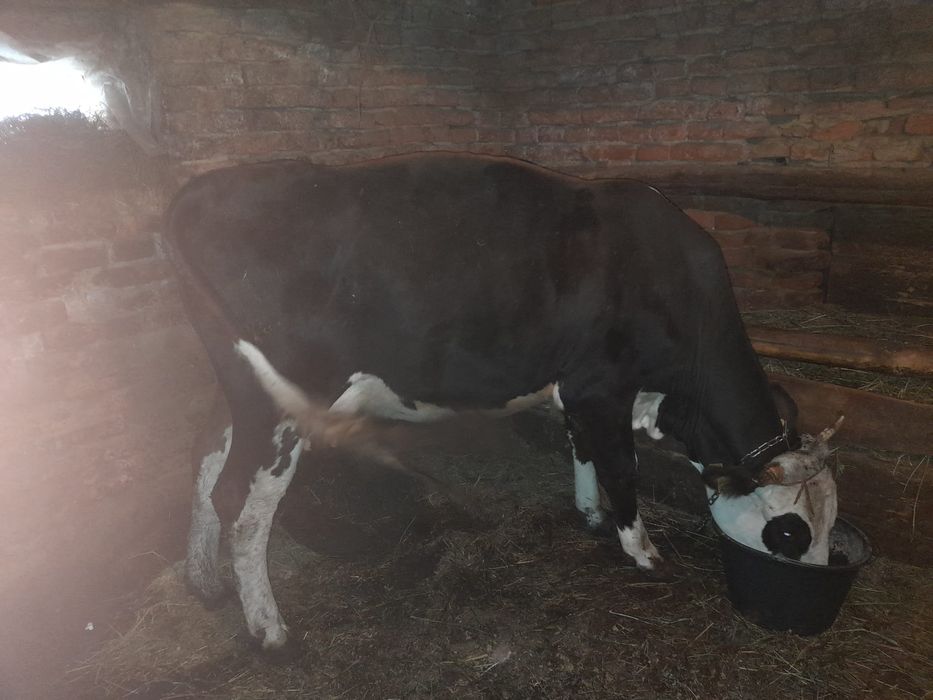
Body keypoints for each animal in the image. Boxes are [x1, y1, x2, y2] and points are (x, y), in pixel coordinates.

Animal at [165, 152, 839, 651]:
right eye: (791, 534)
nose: (816, 584)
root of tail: (198, 192)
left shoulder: (581, 389)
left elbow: (582, 448)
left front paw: (590, 515)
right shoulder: (603, 384)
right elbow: (622, 468)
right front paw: (643, 553)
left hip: (235, 384)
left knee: (204, 456)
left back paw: (203, 582)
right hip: (280, 396)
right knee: (242, 503)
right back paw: (270, 631)